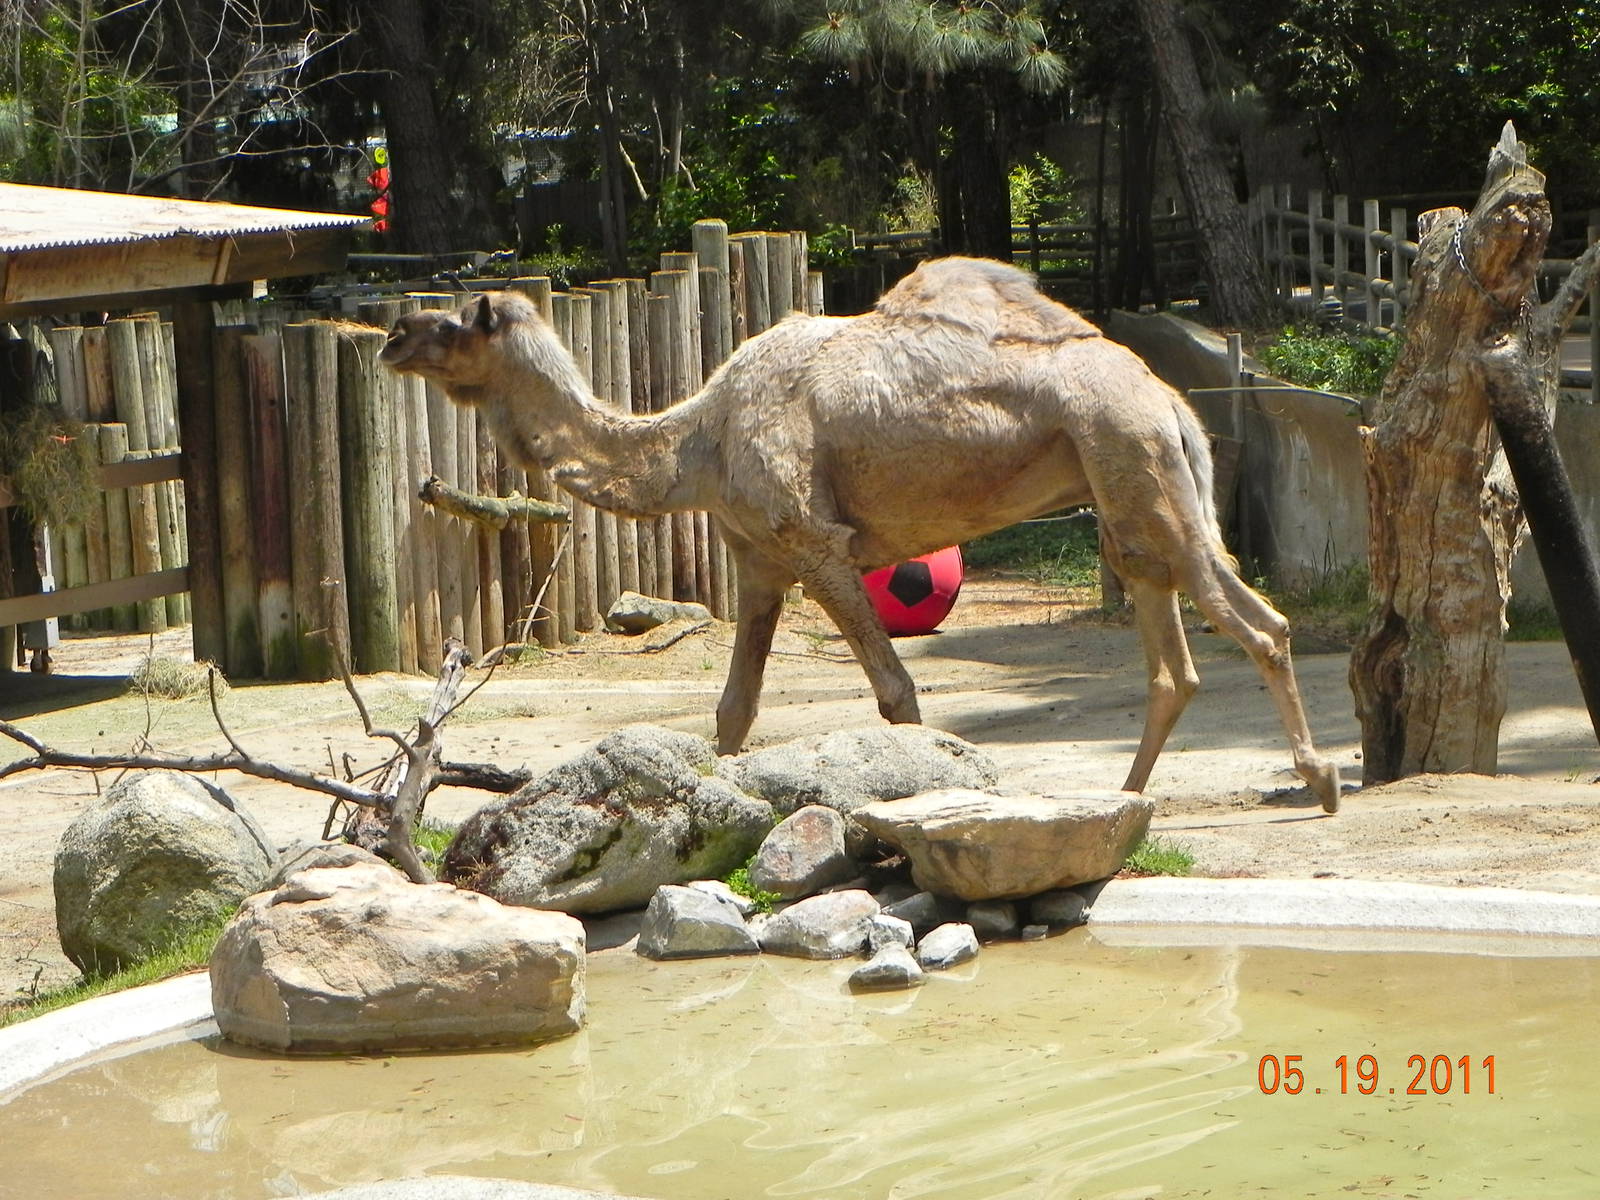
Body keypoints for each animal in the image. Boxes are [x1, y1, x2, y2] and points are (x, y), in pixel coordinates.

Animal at [380, 257, 1343, 813]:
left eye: (454, 321)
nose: (390, 335)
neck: (698, 438)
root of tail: (1172, 399)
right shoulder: (759, 561)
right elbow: (734, 709)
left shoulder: (815, 541)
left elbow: (896, 693)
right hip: (1139, 483)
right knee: (1181, 642)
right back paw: (1127, 795)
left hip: (1132, 461)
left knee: (1257, 624)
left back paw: (1319, 781)